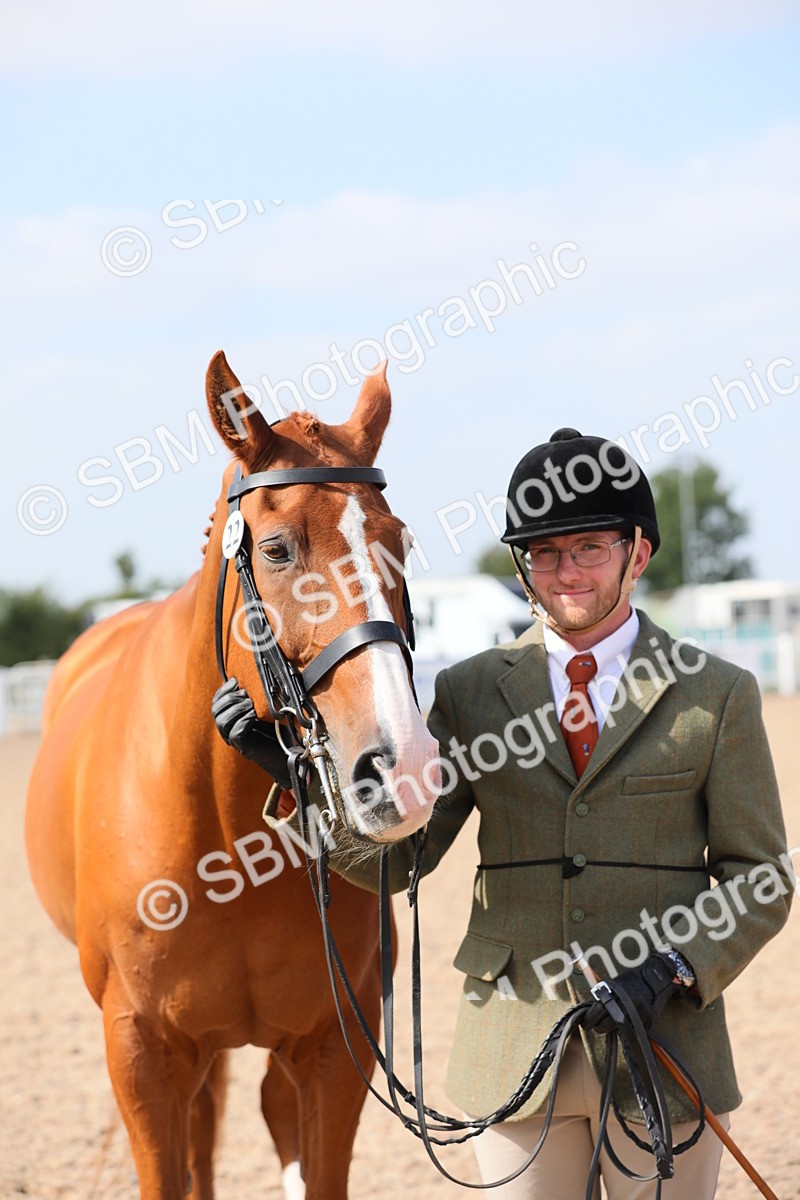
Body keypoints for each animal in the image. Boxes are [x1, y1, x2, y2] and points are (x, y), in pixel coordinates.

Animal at [25, 351, 441, 1200]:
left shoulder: (332, 1053)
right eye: (277, 550)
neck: (224, 830)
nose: (402, 766)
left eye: (399, 543)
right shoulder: (143, 1055)